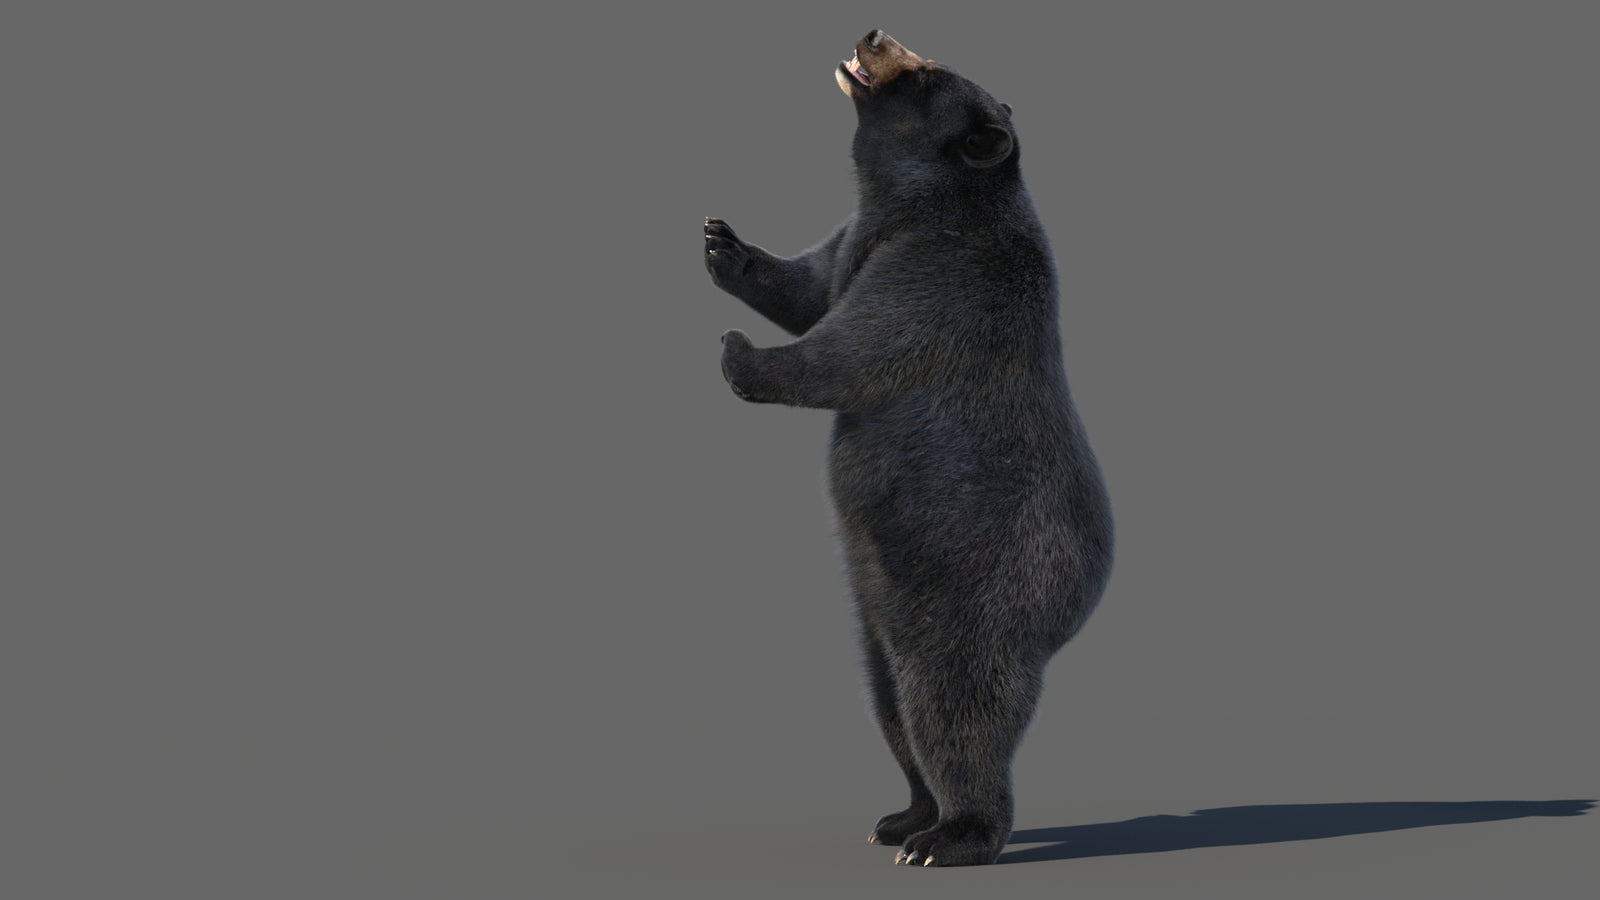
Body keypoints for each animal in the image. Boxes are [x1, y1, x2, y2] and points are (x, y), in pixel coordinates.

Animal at [704, 30, 1113, 867]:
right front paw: (725, 247)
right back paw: (902, 816)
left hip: (979, 597)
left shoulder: (946, 273)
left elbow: (855, 346)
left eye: (926, 72)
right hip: (877, 611)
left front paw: (739, 352)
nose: (872, 34)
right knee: (888, 702)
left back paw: (952, 835)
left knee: (952, 711)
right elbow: (810, 286)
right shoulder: (855, 240)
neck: (912, 205)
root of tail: (1075, 609)